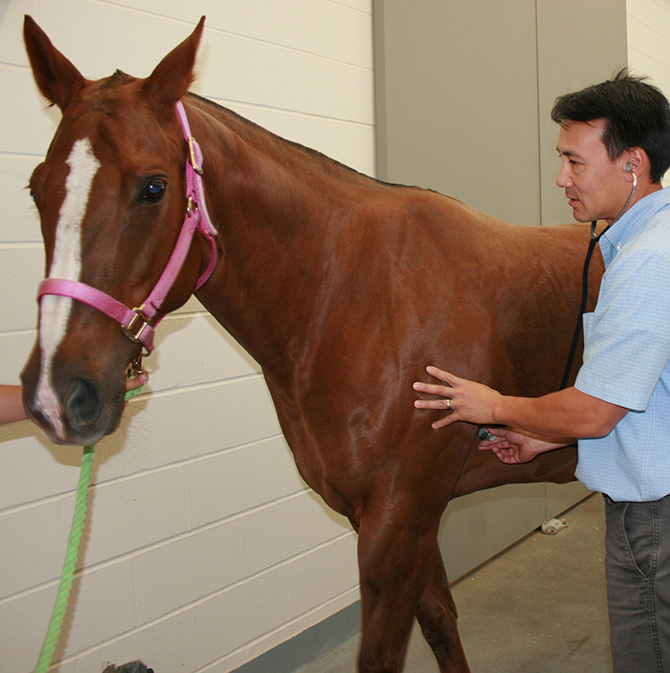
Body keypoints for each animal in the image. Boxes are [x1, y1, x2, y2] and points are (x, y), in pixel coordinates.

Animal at [19, 15, 604, 672]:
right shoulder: (388, 516)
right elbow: (440, 624)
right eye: (37, 188)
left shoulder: (398, 519)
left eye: (153, 187)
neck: (351, 296)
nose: (58, 394)